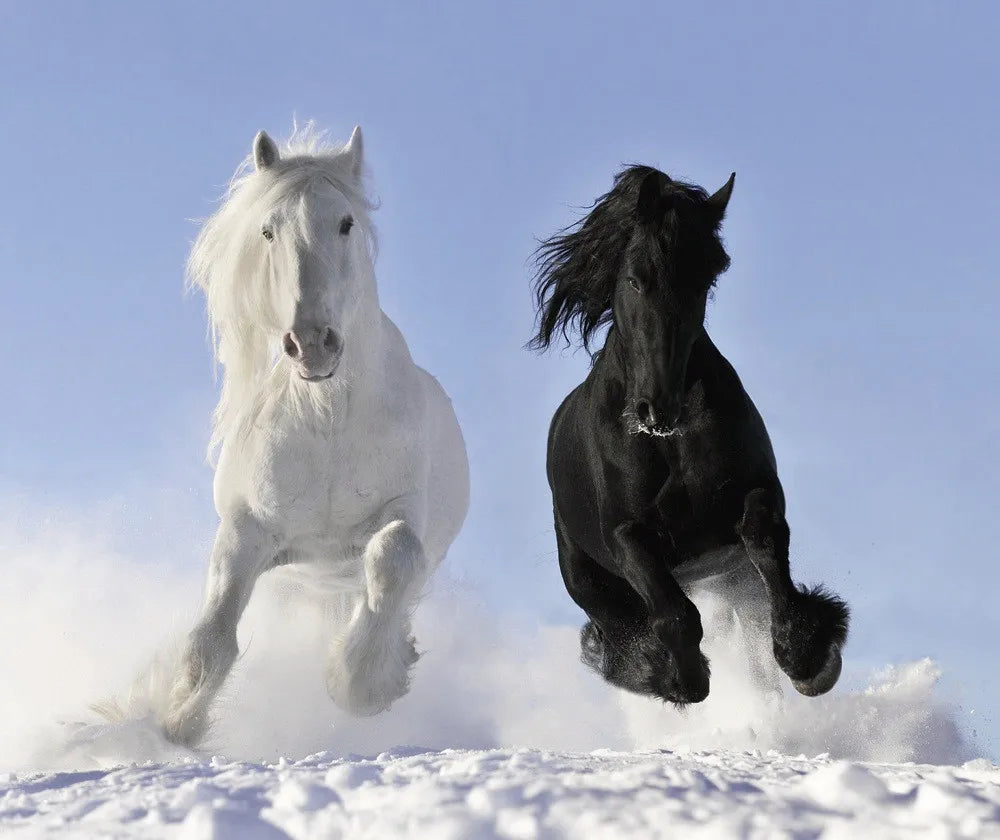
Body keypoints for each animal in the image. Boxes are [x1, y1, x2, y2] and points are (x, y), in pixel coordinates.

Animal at [162, 125, 470, 746]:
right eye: (268, 230)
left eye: (346, 222)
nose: (311, 343)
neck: (327, 421)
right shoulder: (248, 530)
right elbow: (211, 637)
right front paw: (177, 721)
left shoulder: (404, 511)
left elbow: (395, 555)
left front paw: (360, 685)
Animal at [530, 166, 849, 706]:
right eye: (635, 279)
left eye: (704, 280)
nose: (657, 407)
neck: (668, 442)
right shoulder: (627, 535)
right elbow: (674, 614)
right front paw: (682, 679)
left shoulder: (755, 491)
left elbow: (765, 540)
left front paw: (808, 657)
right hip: (589, 579)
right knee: (620, 629)